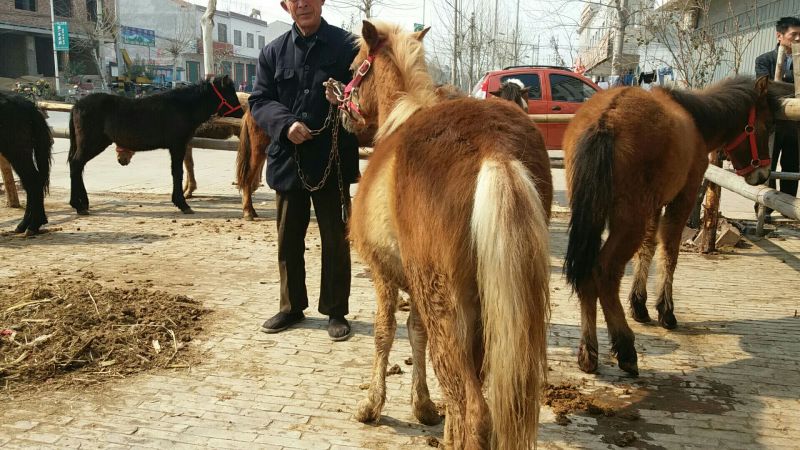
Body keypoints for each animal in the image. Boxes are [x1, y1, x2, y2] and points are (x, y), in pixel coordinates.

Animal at [68, 75, 244, 215]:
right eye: (230, 94)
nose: (242, 114)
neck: (183, 107)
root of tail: (76, 105)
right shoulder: (177, 145)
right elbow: (178, 172)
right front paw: (182, 204)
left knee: (77, 166)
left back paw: (82, 203)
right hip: (91, 143)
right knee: (76, 164)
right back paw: (79, 205)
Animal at [342, 21, 552, 449]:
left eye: (356, 67)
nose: (342, 109)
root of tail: (495, 147)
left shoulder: (384, 275)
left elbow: (385, 334)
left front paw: (372, 405)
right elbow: (415, 332)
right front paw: (422, 406)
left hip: (446, 303)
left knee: (470, 406)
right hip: (487, 309)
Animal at [562, 76, 795, 377]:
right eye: (766, 124)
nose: (763, 173)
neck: (695, 120)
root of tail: (606, 120)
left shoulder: (654, 205)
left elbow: (647, 248)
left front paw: (639, 305)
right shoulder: (682, 198)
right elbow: (669, 252)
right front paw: (665, 310)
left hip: (594, 214)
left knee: (587, 273)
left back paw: (588, 352)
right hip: (628, 219)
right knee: (604, 270)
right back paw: (625, 348)